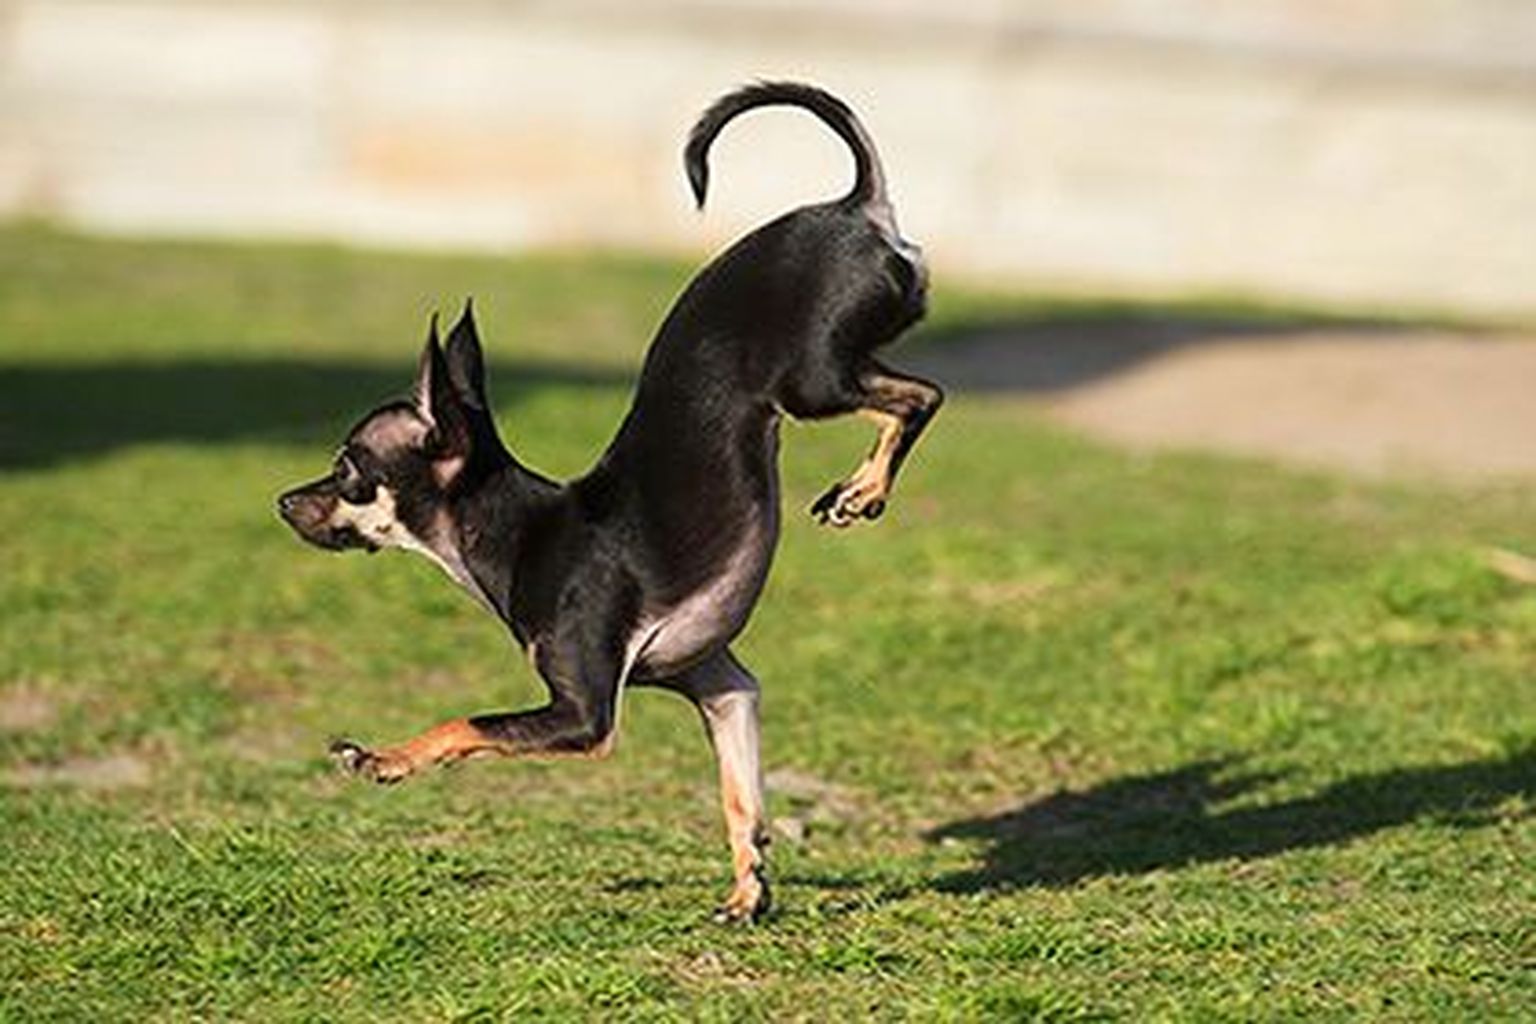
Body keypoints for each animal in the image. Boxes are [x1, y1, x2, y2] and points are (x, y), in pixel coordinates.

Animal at [281, 84, 940, 927]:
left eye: (346, 470)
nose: (284, 501)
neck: (519, 532)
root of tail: (856, 206)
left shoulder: (584, 715)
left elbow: (466, 721)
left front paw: (383, 758)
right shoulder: (722, 686)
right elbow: (742, 802)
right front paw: (748, 891)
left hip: (813, 383)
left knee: (922, 396)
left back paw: (863, 490)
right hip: (833, 373)